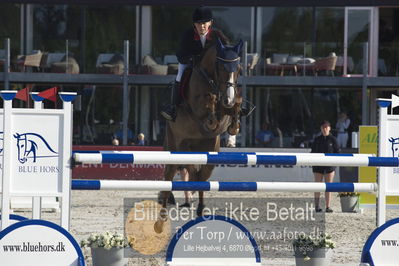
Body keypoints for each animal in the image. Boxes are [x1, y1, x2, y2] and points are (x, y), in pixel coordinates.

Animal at [155, 39, 244, 233]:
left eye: (239, 68)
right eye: (221, 67)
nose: (228, 99)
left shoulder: (224, 116)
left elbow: (232, 111)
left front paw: (234, 126)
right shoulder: (199, 107)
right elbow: (208, 104)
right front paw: (213, 101)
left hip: (208, 152)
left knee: (201, 177)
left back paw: (201, 210)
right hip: (175, 146)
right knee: (169, 176)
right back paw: (162, 217)